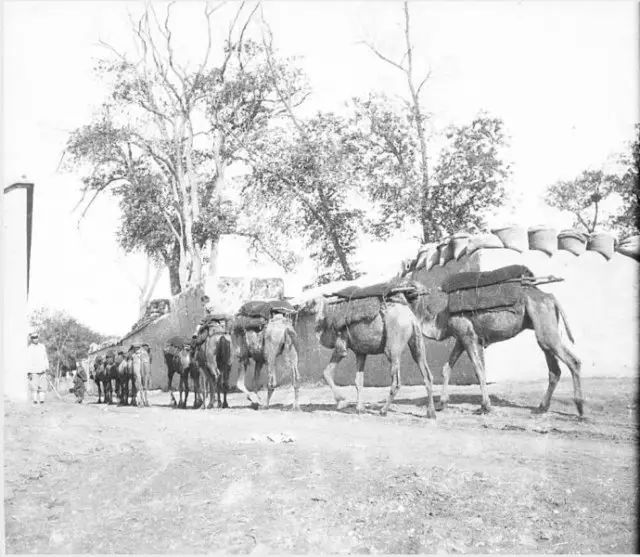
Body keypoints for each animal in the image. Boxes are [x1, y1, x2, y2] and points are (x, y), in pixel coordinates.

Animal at [308, 284, 438, 420]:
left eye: (312, 303)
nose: (306, 307)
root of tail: (411, 318)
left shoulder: (341, 345)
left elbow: (326, 372)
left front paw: (342, 401)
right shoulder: (360, 352)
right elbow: (358, 381)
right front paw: (360, 408)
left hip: (393, 345)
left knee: (396, 381)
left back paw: (383, 410)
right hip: (417, 341)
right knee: (426, 372)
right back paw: (431, 413)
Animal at [408, 268, 584, 414]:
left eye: (410, 287)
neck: (440, 321)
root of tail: (550, 297)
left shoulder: (467, 336)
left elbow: (479, 369)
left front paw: (485, 406)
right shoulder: (461, 338)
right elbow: (446, 368)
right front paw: (442, 404)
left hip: (543, 324)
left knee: (572, 361)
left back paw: (580, 408)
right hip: (543, 326)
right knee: (554, 369)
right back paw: (541, 408)